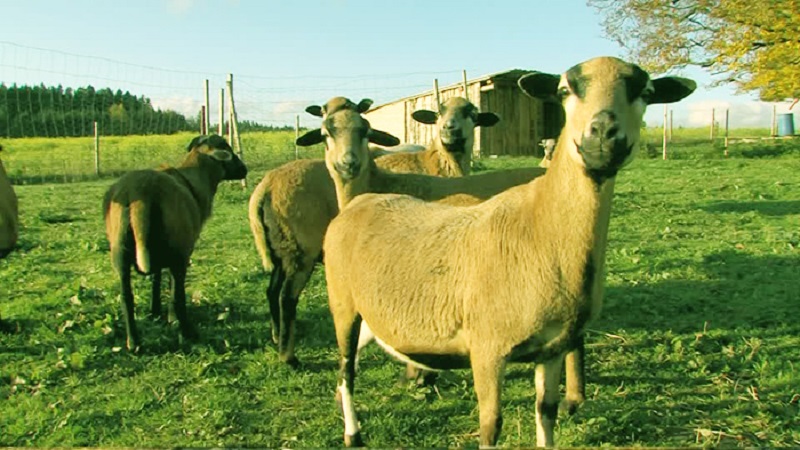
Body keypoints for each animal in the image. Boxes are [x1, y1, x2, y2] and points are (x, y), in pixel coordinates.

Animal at [103, 134, 247, 352]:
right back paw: (187, 333)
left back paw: (134, 343)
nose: (244, 169)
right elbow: (173, 288)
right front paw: (171, 318)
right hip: (179, 249)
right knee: (178, 294)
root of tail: (141, 192)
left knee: (126, 297)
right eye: (227, 150)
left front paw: (155, 312)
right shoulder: (183, 251)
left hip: (120, 250)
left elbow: (155, 279)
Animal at [322, 56, 696, 446]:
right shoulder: (487, 349)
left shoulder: (552, 348)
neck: (542, 231)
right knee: (345, 369)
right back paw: (353, 434)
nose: (603, 134)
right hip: (342, 303)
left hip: (370, 311)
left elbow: (545, 411)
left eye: (647, 93)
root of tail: (358, 203)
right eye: (564, 90)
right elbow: (491, 426)